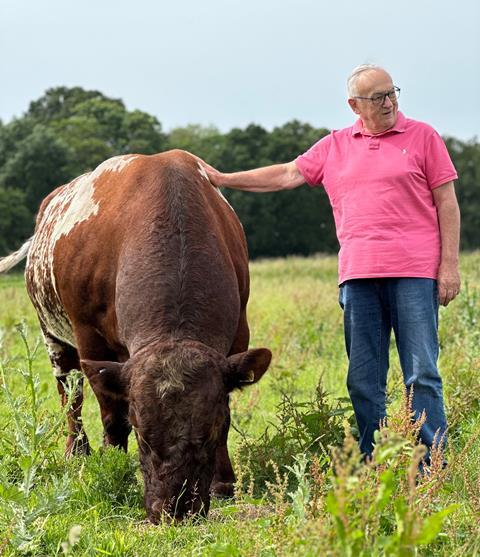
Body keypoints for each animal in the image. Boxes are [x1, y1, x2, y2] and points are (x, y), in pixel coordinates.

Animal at [0, 149, 270, 520]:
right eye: (142, 434)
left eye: (210, 430)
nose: (175, 509)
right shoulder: (90, 337)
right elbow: (112, 416)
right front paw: (112, 469)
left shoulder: (238, 334)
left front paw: (223, 482)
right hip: (52, 335)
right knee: (70, 394)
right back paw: (77, 452)